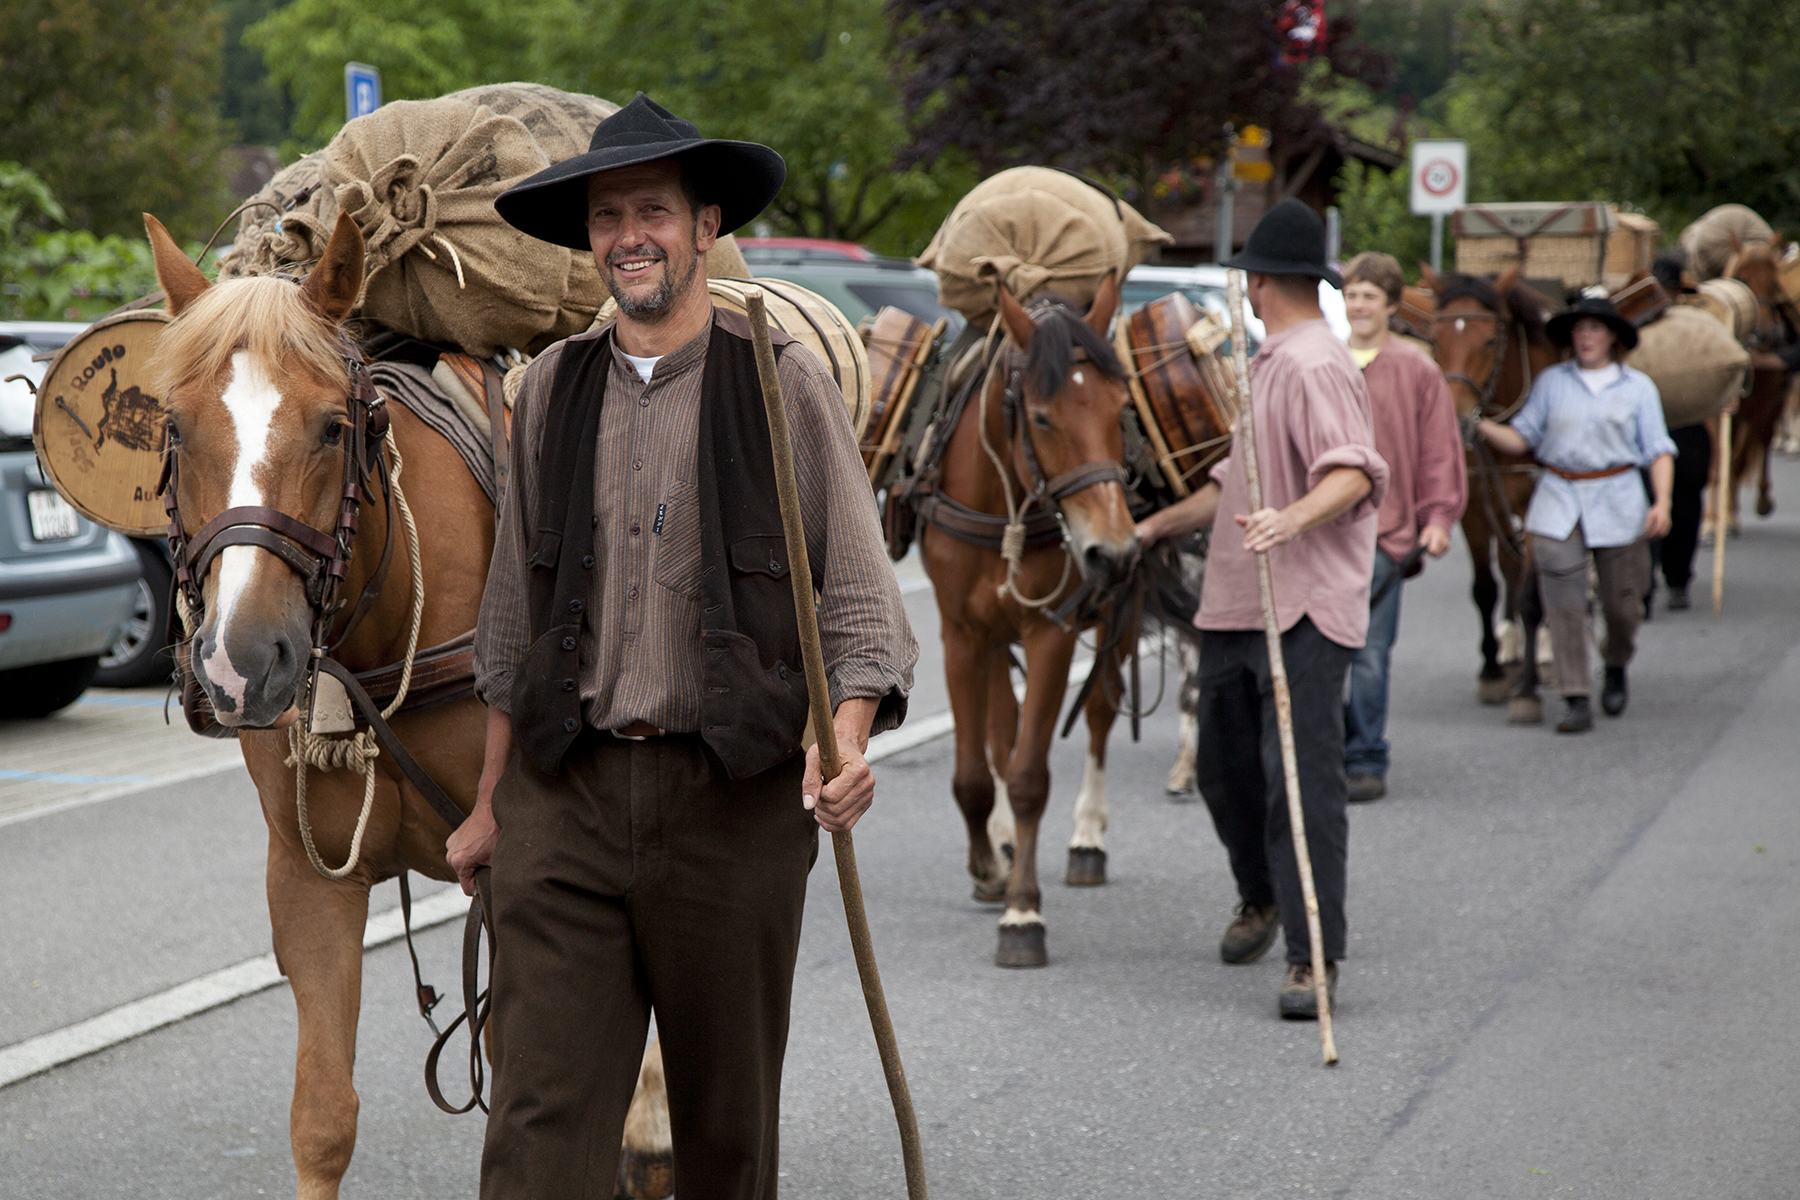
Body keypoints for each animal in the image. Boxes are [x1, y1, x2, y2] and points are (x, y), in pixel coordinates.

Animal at [145, 218, 676, 1200]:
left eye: (331, 427)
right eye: (176, 428)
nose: (241, 663)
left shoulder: (517, 881)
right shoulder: (307, 880)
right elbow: (322, 1117)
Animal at [928, 277, 1137, 971]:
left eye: (1121, 410)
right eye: (1042, 418)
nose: (1113, 551)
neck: (1006, 503)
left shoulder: (1052, 633)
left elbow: (1027, 776)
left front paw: (1022, 912)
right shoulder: (961, 636)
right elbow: (974, 773)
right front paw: (990, 869)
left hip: (1118, 620)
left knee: (1099, 711)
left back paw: (1087, 837)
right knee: (1000, 733)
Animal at [1418, 264, 1562, 723]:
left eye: (1490, 340)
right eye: (1434, 339)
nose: (1457, 422)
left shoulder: (1537, 504)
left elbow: (1533, 596)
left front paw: (1528, 690)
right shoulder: (1476, 510)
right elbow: (1485, 588)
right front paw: (1493, 671)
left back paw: (1547, 655)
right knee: (1510, 568)